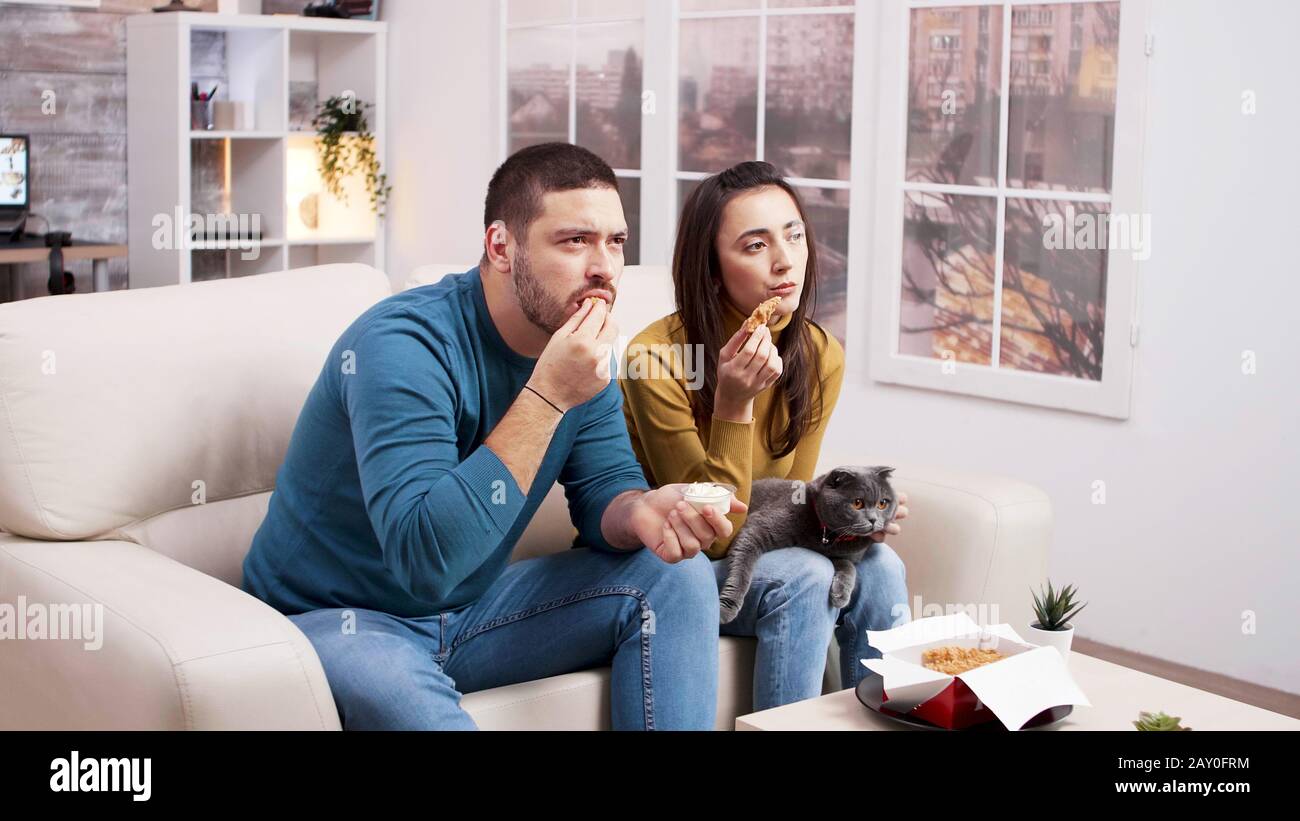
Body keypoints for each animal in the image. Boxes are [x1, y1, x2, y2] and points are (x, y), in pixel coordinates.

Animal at [717, 467, 899, 620]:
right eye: (857, 503)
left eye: (882, 503)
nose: (874, 520)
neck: (827, 536)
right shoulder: (758, 526)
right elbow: (742, 567)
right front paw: (726, 608)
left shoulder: (841, 555)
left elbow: (849, 566)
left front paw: (840, 595)